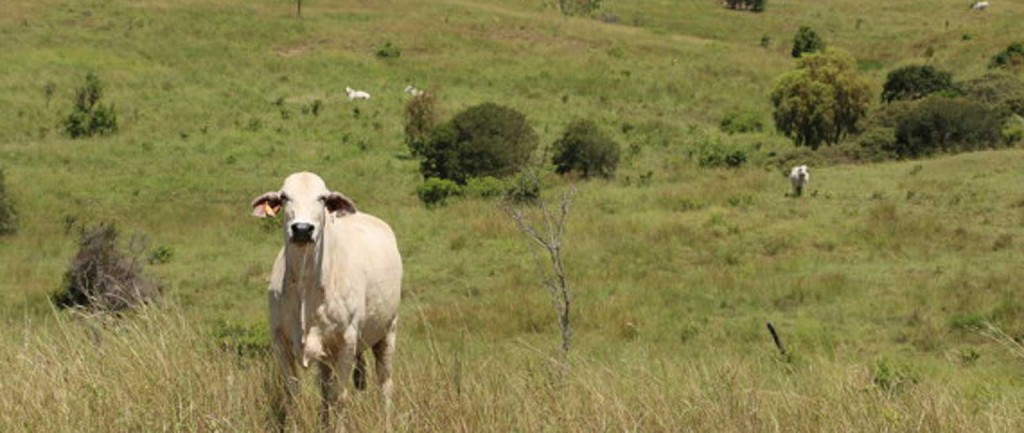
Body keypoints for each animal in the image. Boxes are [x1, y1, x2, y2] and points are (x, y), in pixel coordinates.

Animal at [249, 172, 401, 429]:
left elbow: (340, 396)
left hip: (388, 332)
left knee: (386, 384)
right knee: (324, 390)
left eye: (321, 198)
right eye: (284, 197)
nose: (302, 229)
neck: (305, 286)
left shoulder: (347, 341)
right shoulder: (280, 341)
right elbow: (293, 394)